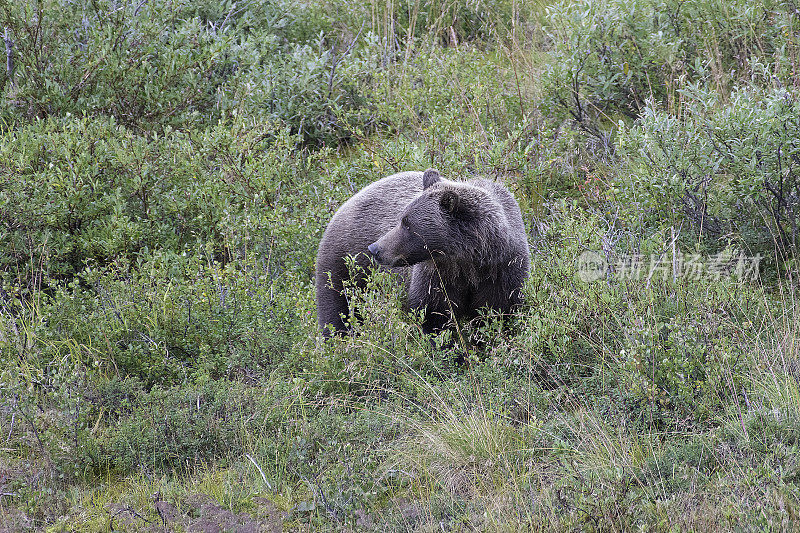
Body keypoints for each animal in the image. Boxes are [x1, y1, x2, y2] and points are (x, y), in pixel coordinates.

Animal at [314, 168, 532, 336]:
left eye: (407, 224)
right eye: (402, 218)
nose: (375, 249)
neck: (468, 261)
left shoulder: (502, 272)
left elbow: (496, 314)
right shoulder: (437, 275)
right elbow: (434, 316)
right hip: (344, 263)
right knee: (337, 308)